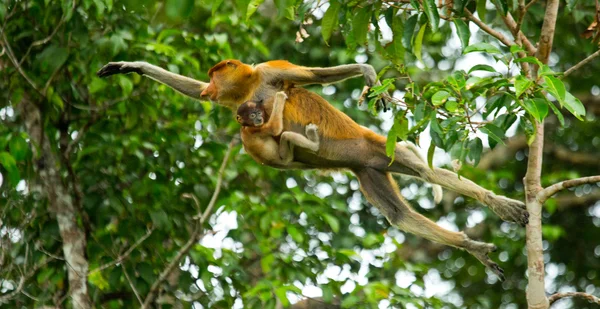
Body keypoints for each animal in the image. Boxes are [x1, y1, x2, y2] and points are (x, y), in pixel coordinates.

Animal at [96, 59, 528, 278]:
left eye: (215, 74)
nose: (209, 87)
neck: (251, 88)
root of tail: (369, 150)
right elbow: (187, 89)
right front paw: (130, 66)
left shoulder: (270, 72)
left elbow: (313, 75)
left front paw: (368, 73)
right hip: (370, 169)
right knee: (398, 216)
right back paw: (472, 247)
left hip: (380, 150)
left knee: (427, 175)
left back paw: (503, 206)